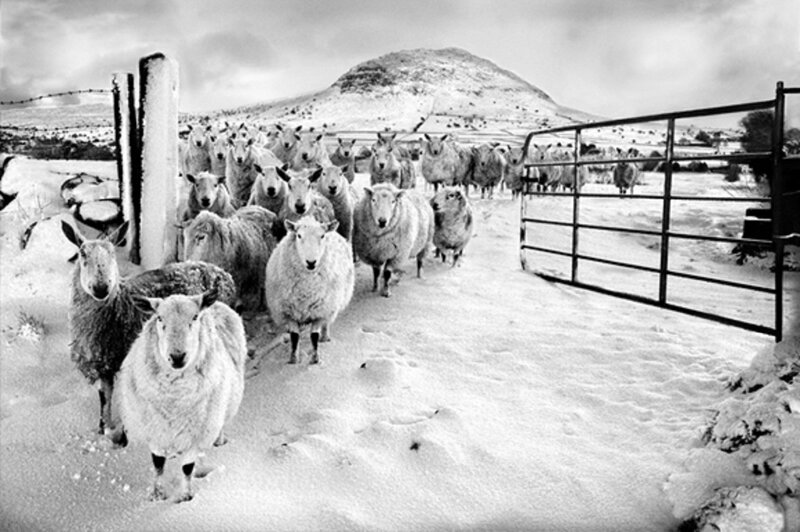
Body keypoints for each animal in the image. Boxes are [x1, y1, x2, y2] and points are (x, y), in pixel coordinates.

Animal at [61, 220, 236, 444]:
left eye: (112, 254)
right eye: (82, 254)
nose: (101, 288)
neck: (117, 310)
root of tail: (222, 273)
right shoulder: (104, 361)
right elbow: (104, 398)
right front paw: (104, 430)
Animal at [116, 292, 246, 502]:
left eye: (195, 317)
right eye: (159, 318)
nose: (177, 357)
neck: (174, 399)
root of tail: (216, 304)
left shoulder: (194, 435)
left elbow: (187, 469)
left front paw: (185, 497)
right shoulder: (156, 431)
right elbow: (158, 465)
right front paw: (156, 494)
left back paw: (219, 440)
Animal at [265, 217, 355, 364]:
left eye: (322, 236)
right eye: (299, 235)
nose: (311, 262)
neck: (306, 289)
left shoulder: (319, 311)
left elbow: (314, 336)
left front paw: (315, 358)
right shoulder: (288, 312)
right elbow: (294, 336)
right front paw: (293, 358)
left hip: (331, 305)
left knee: (326, 323)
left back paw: (325, 337)